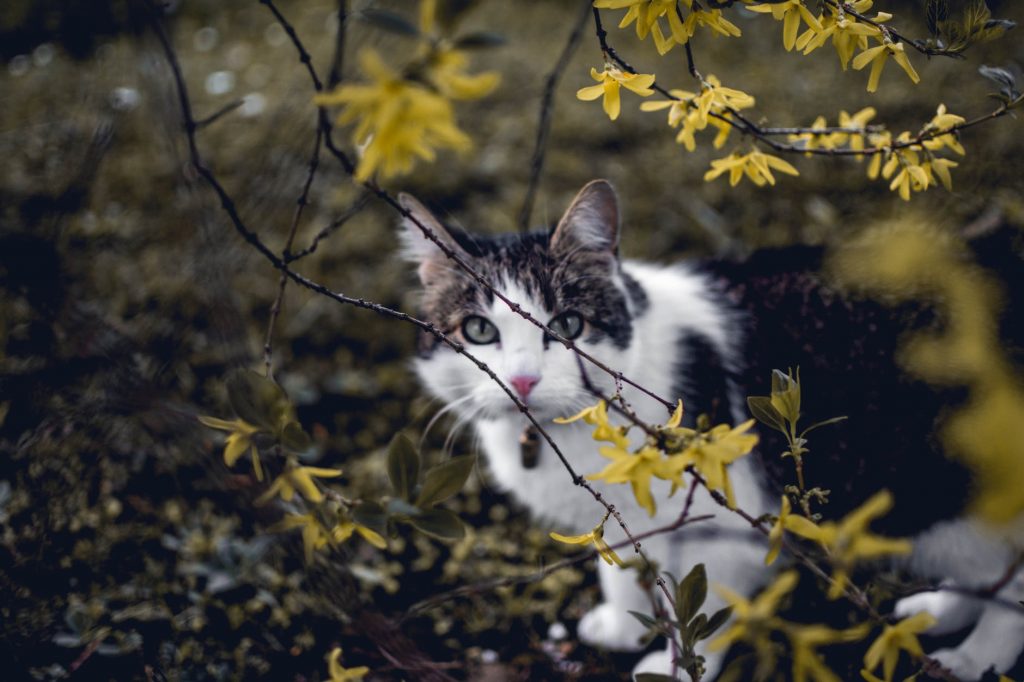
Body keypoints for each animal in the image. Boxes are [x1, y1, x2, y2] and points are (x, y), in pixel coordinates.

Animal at [397, 178, 1024, 675]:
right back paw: (938, 613)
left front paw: (678, 668)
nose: (523, 381)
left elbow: (704, 608)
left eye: (567, 325)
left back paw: (973, 658)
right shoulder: (619, 513)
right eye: (479, 331)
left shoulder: (727, 522)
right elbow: (623, 569)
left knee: (1010, 580)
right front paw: (623, 629)